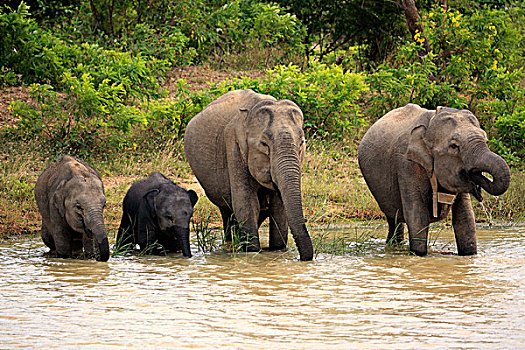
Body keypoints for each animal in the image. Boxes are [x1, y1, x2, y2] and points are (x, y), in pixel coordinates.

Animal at [182, 89, 314, 262]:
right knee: (227, 211)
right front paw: (252, 252)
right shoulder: (234, 147)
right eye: (264, 144)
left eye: (301, 143)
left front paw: (277, 251)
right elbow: (246, 205)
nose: (301, 259)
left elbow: (279, 209)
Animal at [358, 104, 510, 258]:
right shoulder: (407, 165)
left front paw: (469, 255)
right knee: (393, 218)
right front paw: (419, 255)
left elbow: (465, 217)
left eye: (486, 141)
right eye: (454, 146)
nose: (479, 192)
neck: (430, 125)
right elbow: (417, 216)